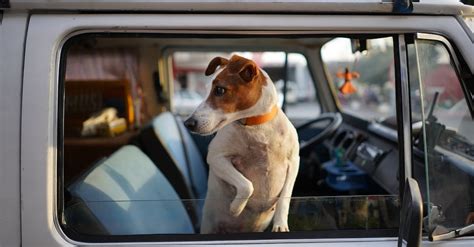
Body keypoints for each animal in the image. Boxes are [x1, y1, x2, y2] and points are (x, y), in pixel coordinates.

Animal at [183, 54, 298, 233]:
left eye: (220, 90)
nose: (188, 123)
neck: (256, 126)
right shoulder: (216, 158)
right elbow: (247, 185)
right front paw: (236, 208)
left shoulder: (294, 162)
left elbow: (285, 197)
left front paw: (280, 224)